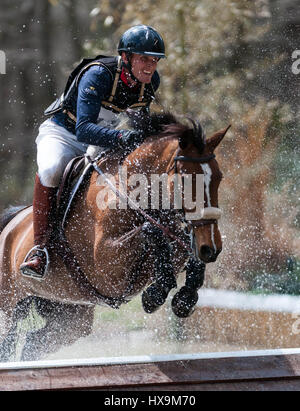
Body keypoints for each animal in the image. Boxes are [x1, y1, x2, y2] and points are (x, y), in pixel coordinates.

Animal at [0, 112, 230, 360]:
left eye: (219, 177)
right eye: (186, 180)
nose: (212, 248)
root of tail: (8, 226)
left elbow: (182, 246)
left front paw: (184, 298)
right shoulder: (108, 266)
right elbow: (152, 231)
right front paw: (155, 294)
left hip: (69, 316)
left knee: (32, 343)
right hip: (8, 306)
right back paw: (36, 260)